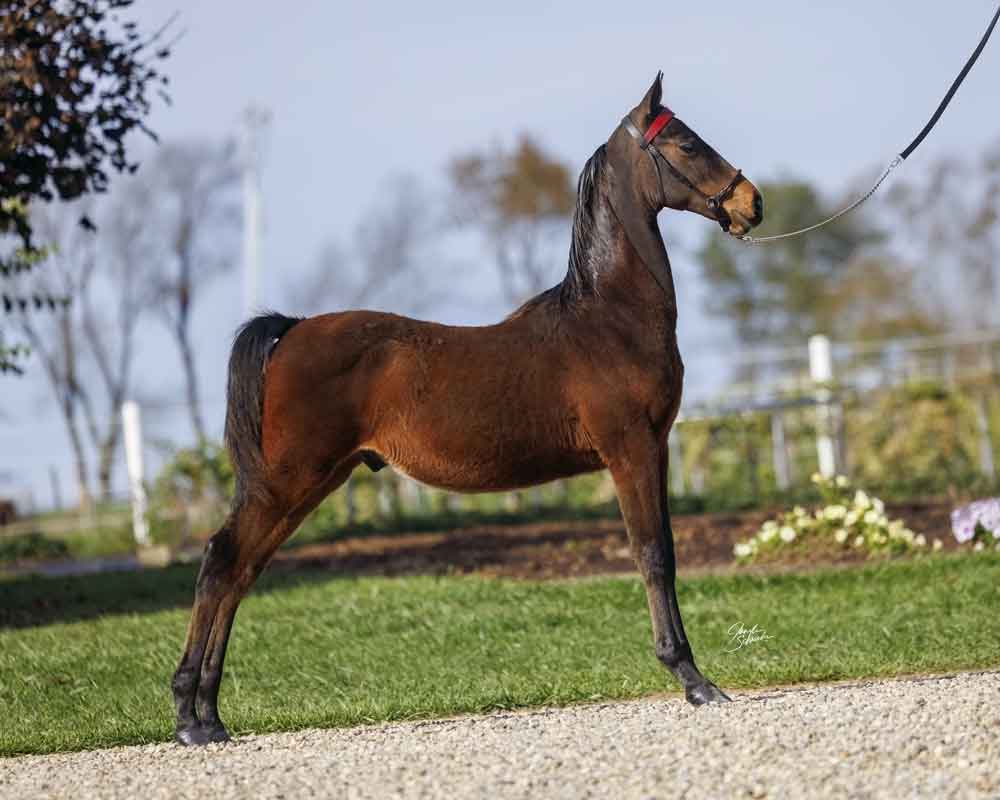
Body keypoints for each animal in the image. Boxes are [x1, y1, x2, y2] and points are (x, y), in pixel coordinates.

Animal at [172, 72, 764, 745]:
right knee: (222, 563)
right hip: (286, 481)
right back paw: (191, 717)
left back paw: (209, 714)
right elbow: (654, 553)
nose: (753, 204)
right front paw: (694, 680)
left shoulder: (655, 448)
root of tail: (291, 329)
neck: (606, 320)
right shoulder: (631, 449)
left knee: (241, 572)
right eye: (687, 144)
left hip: (305, 484)